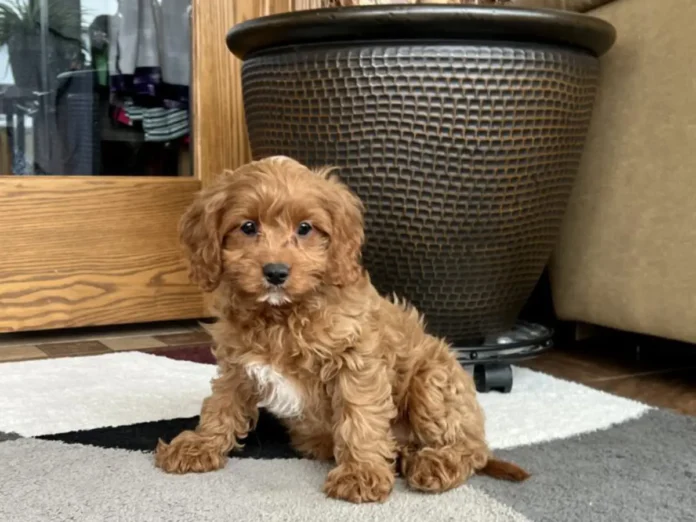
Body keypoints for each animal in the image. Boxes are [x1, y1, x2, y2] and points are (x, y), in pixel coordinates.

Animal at [156, 156, 528, 502]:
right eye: (247, 227)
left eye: (305, 228)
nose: (275, 272)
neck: (282, 315)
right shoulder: (237, 363)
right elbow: (222, 404)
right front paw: (200, 444)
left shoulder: (356, 360)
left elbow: (359, 416)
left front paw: (361, 474)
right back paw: (403, 456)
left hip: (433, 380)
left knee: (470, 450)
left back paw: (433, 464)